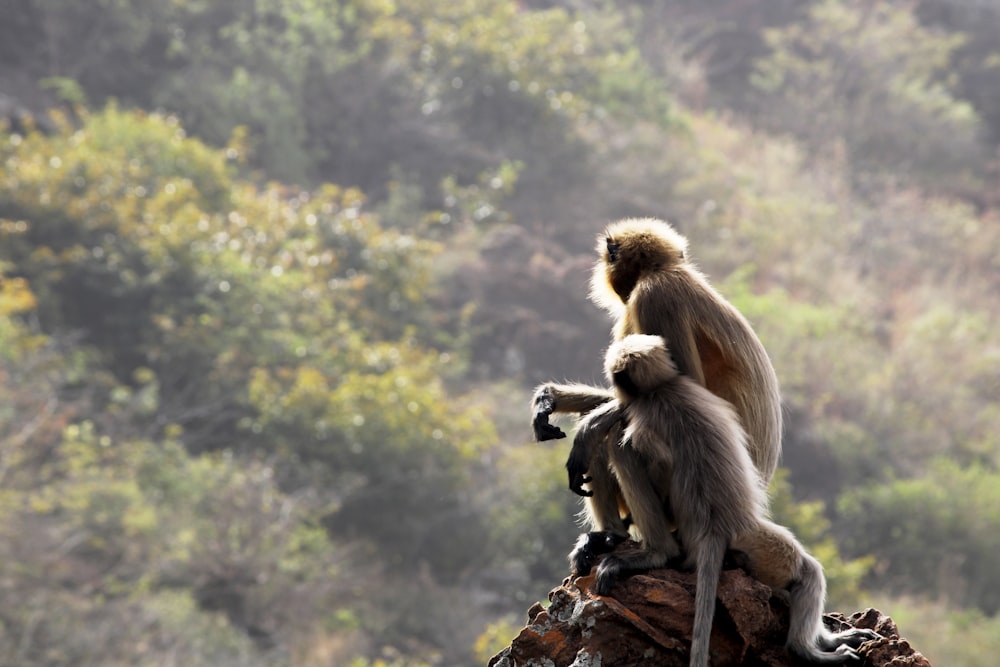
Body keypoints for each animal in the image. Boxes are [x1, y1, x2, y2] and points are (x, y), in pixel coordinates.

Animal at [592, 336, 876, 664]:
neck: (662, 388)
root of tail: (715, 528)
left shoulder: (646, 408)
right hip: (760, 546)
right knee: (806, 573)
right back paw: (813, 646)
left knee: (620, 446)